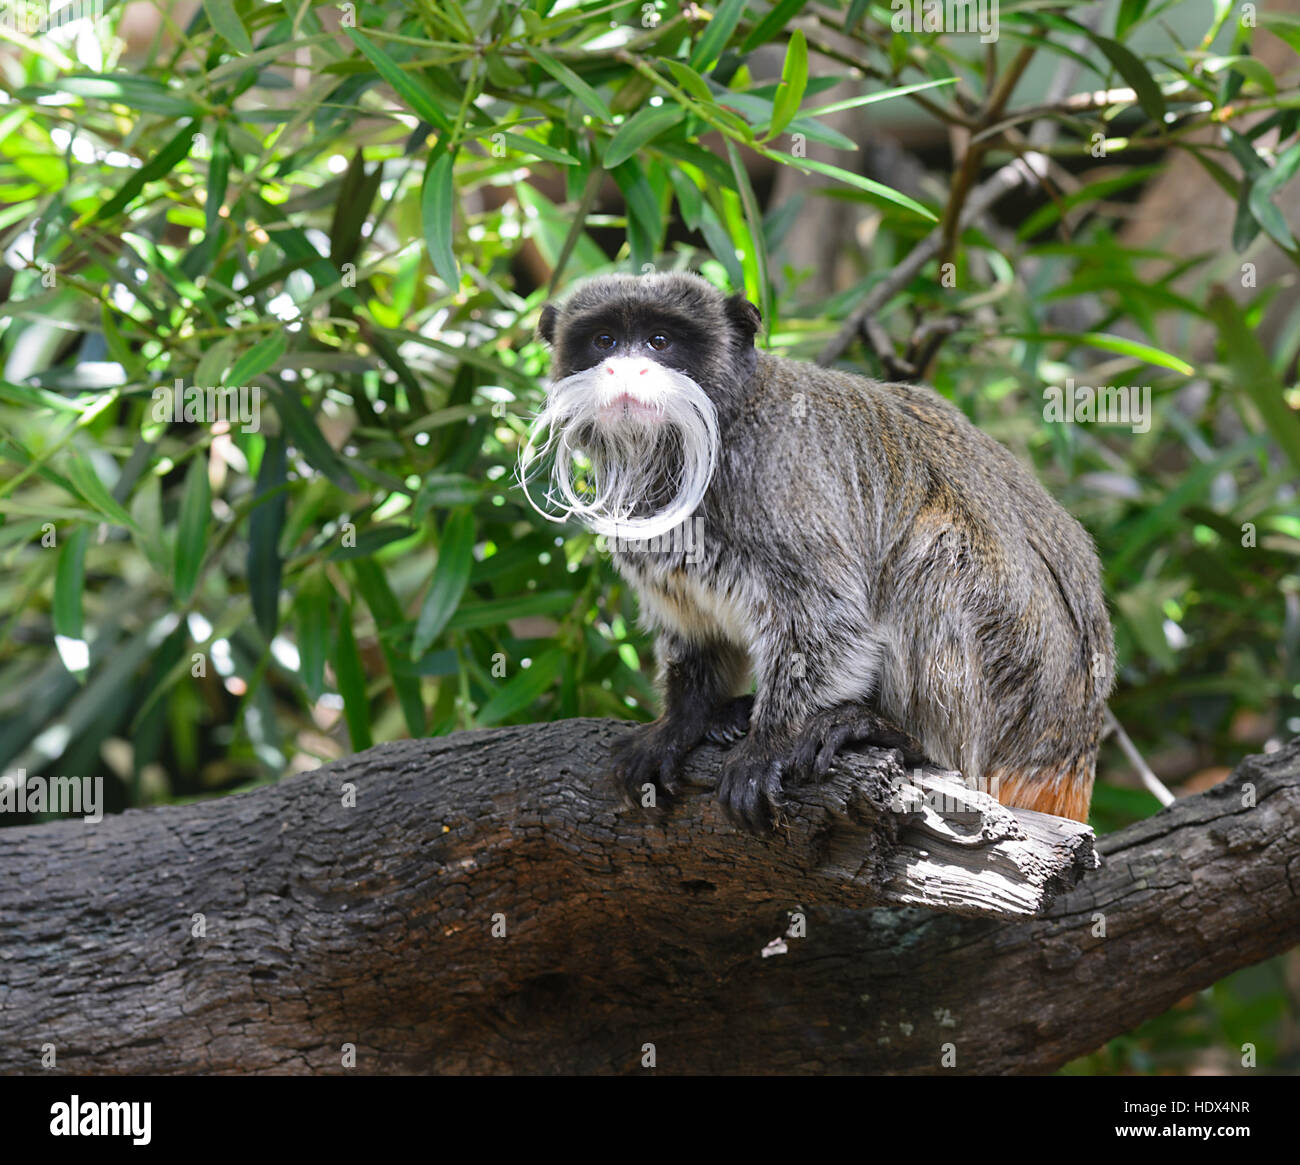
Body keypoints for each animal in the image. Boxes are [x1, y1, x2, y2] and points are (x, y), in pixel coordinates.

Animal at [522, 273, 1112, 832]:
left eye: (659, 341)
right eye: (604, 340)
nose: (625, 370)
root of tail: (1072, 753)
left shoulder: (778, 474)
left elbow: (825, 623)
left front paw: (770, 744)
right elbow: (695, 633)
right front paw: (681, 723)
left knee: (934, 546)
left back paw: (897, 736)